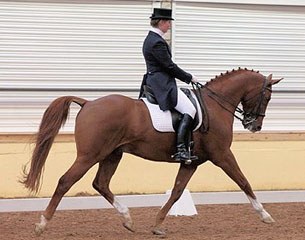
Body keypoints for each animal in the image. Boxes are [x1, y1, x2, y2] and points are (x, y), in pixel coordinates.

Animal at [21, 68, 282, 235]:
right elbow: (244, 181)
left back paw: (127, 219)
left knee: (101, 184)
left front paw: (157, 225)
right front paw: (265, 215)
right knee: (66, 181)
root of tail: (88, 103)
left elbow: (177, 192)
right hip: (89, 155)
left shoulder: (191, 162)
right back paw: (42, 224)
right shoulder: (222, 155)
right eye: (267, 96)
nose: (255, 126)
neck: (215, 105)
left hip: (112, 154)